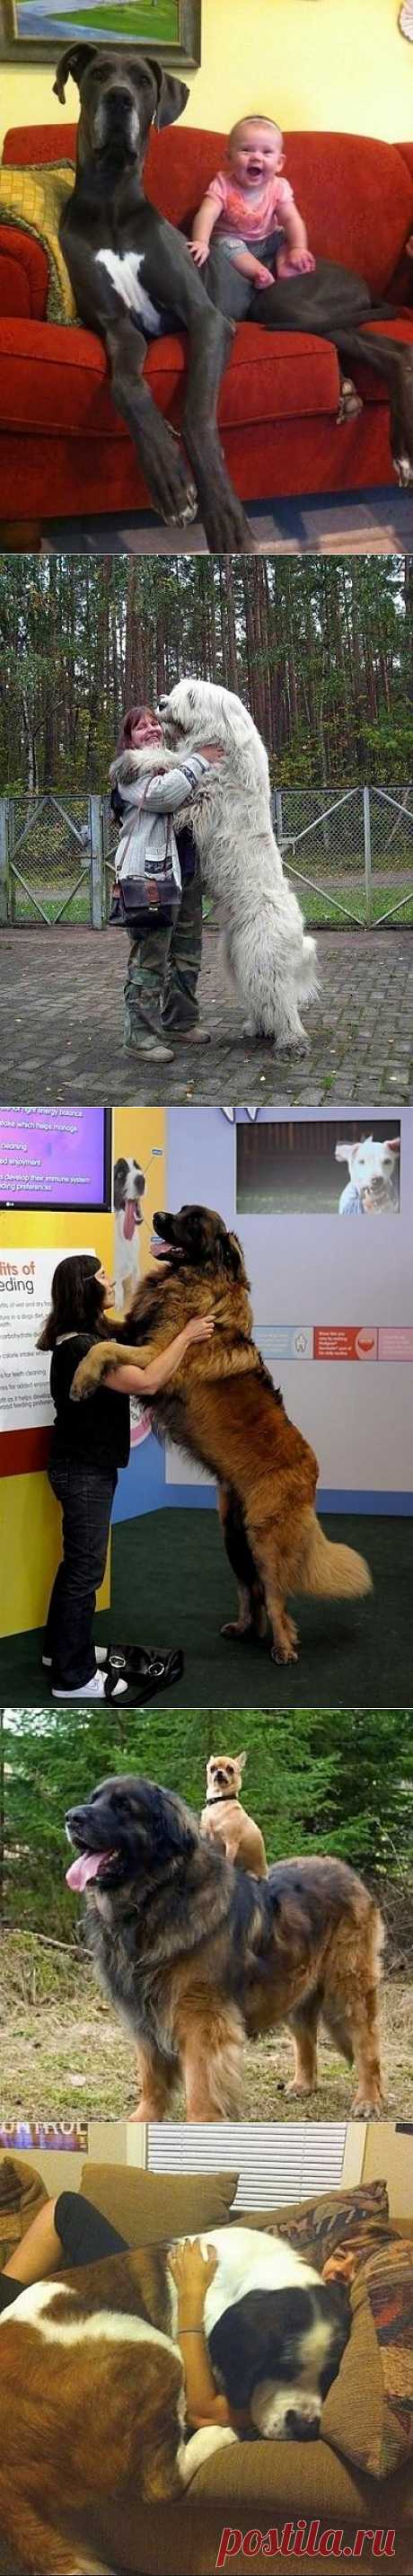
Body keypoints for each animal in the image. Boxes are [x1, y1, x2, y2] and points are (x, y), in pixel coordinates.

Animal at [64, 1772, 384, 2111]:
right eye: (93, 1798)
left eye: (124, 1806)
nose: (71, 1817)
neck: (155, 1898)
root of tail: (346, 1870)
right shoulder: (145, 2016)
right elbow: (151, 2077)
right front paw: (144, 2117)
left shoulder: (201, 2020)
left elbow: (201, 2090)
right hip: (293, 1981)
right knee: (305, 2035)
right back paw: (304, 2084)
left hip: (348, 1982)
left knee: (366, 2040)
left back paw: (368, 2098)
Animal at [72, 1195, 372, 1659]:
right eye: (179, 1211)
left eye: (193, 1222)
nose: (158, 1216)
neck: (190, 1279)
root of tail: (311, 1473)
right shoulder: (137, 1330)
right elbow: (107, 1329)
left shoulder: (154, 1354)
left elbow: (102, 1348)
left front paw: (81, 1380)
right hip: (232, 1533)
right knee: (252, 1591)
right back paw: (247, 1629)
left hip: (264, 1538)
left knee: (275, 1593)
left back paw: (283, 1647)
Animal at [117, 685, 317, 1056]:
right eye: (178, 690)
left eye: (191, 697)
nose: (162, 702)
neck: (225, 738)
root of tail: (298, 936)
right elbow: (174, 757)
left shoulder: (205, 788)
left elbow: (173, 761)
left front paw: (130, 762)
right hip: (238, 957)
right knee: (261, 997)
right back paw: (259, 1028)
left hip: (263, 956)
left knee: (281, 998)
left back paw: (291, 1041)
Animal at [199, 1751, 268, 1875]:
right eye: (212, 1768)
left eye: (230, 1769)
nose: (219, 1772)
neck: (219, 1801)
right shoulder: (206, 1836)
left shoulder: (231, 1843)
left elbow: (228, 1861)